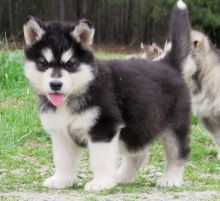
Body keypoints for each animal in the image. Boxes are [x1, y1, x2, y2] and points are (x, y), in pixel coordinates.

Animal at [22, 0, 191, 192]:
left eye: (71, 64)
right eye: (43, 63)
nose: (55, 84)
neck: (82, 88)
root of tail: (168, 63)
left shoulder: (103, 128)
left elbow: (100, 161)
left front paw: (101, 182)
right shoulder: (61, 133)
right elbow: (62, 161)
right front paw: (61, 180)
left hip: (174, 126)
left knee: (178, 153)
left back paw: (171, 178)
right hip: (138, 124)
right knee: (138, 155)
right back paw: (120, 177)